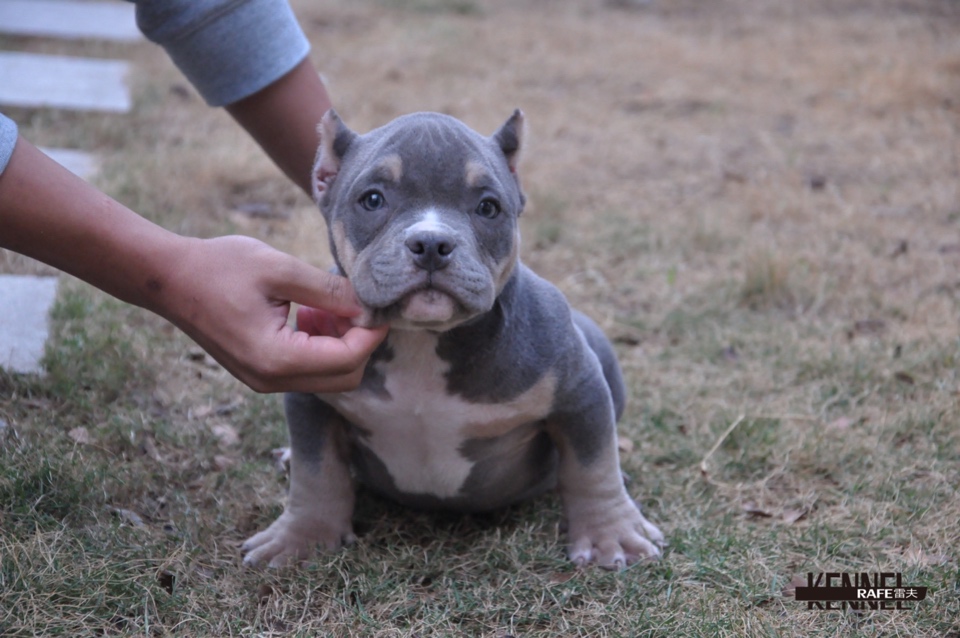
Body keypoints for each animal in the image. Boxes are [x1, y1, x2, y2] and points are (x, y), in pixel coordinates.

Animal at [244, 109, 664, 568]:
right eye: (372, 200)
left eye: (488, 207)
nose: (431, 242)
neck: (423, 340)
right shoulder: (310, 394)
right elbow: (315, 471)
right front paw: (301, 537)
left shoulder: (579, 389)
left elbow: (593, 465)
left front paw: (612, 534)